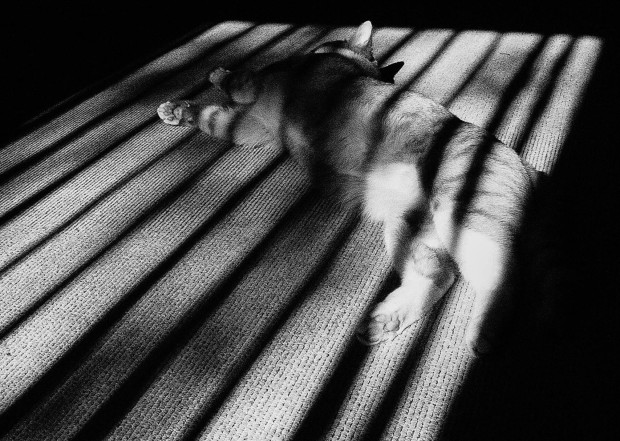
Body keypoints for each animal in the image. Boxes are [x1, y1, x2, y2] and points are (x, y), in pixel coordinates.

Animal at [157, 21, 547, 355]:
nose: (375, 67)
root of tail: (525, 164)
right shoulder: (250, 127)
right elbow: (211, 116)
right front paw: (178, 110)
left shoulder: (254, 88)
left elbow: (235, 78)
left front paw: (215, 74)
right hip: (411, 231)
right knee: (439, 277)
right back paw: (385, 321)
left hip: (465, 218)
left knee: (505, 278)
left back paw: (484, 330)